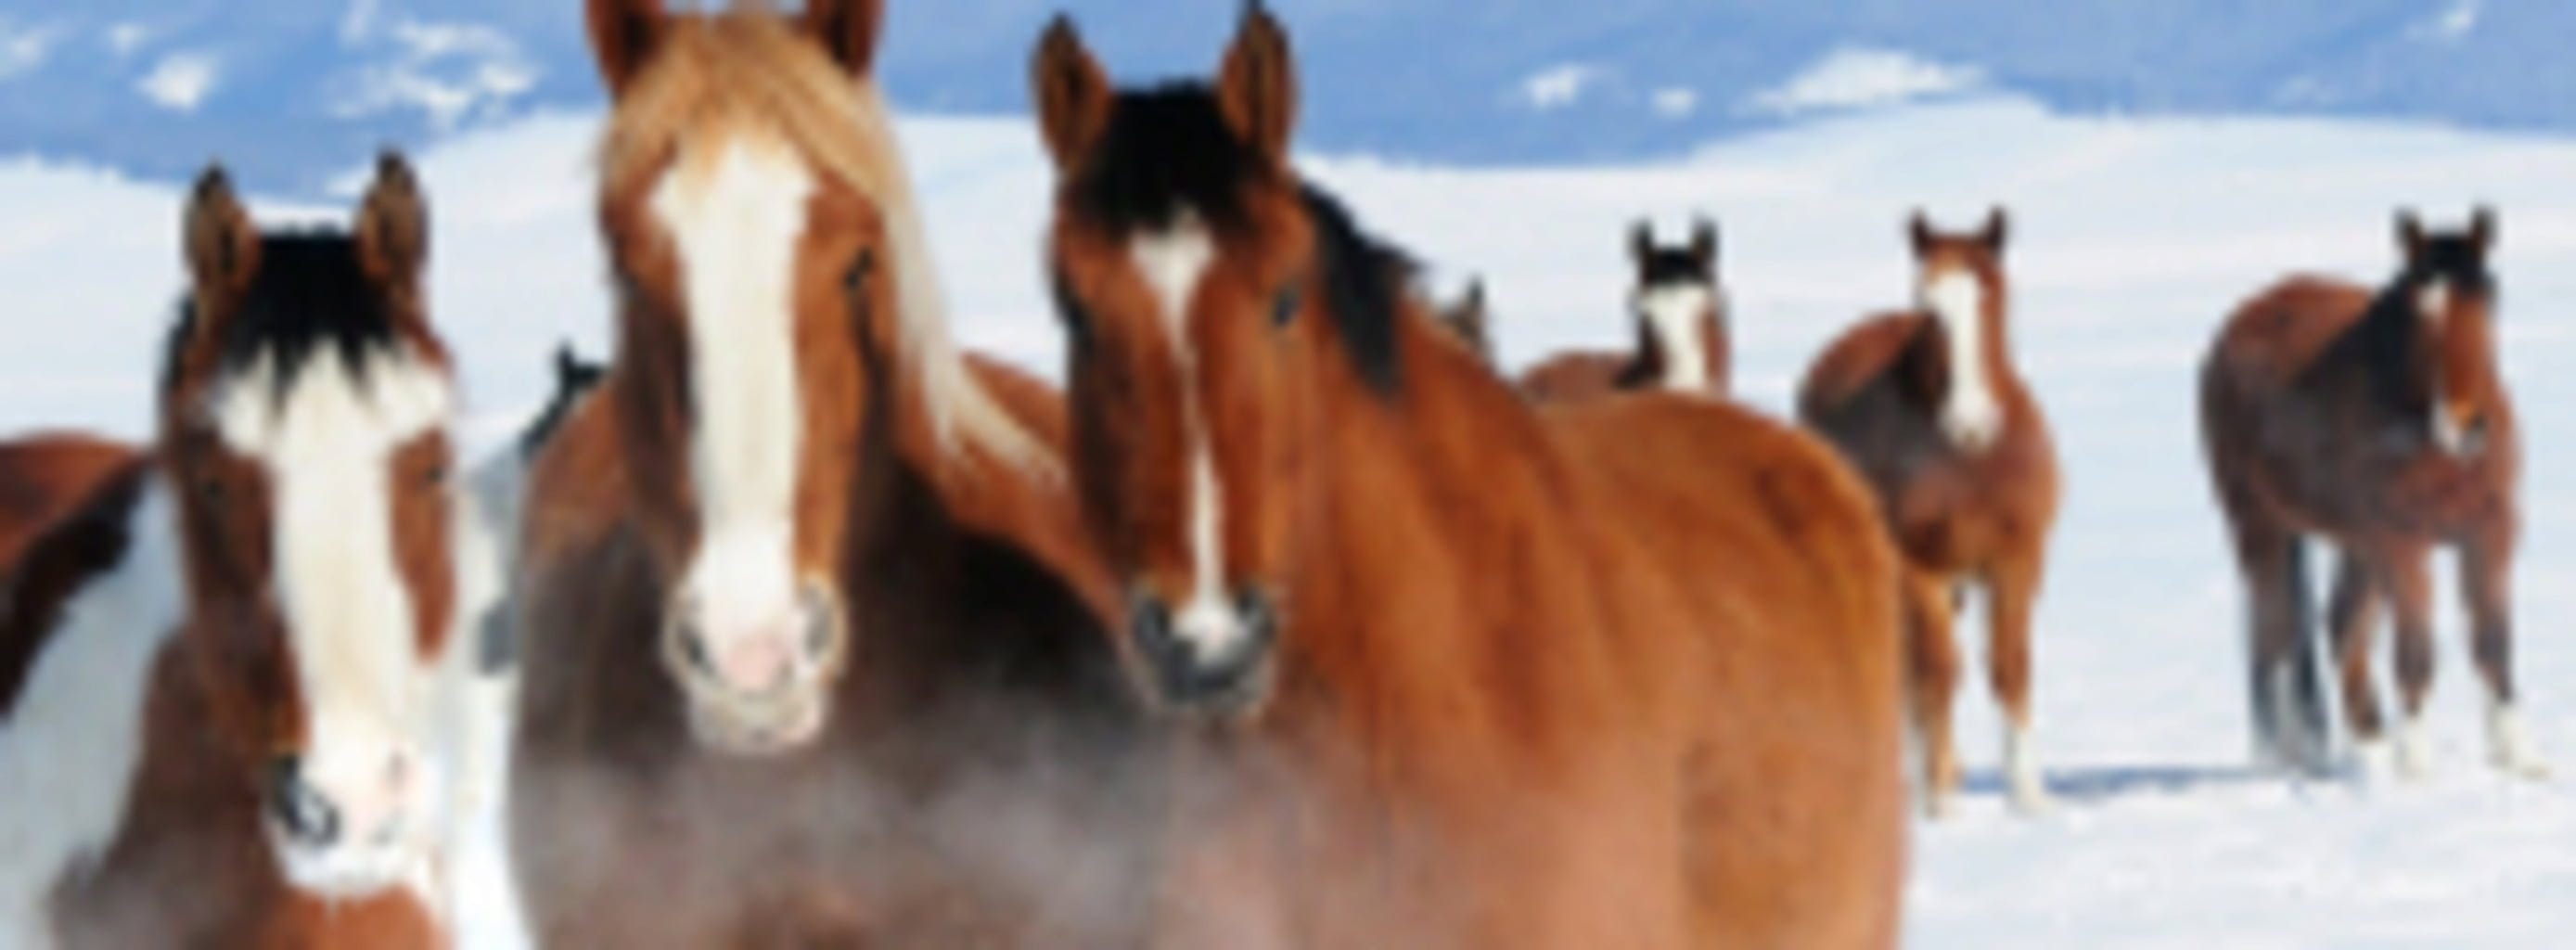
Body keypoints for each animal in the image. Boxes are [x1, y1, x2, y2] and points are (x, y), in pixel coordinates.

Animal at [1797, 209, 2061, 815]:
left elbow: (2011, 667)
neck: (1967, 461)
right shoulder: (1920, 567)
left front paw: (2030, 797)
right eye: (1927, 302)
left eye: (1991, 291)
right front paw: (1937, 798)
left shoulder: (2017, 561)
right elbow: (1938, 671)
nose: (1971, 422)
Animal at [2200, 209, 2543, 780]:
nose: (2467, 425)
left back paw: (2372, 753)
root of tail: (2238, 324)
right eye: (2421, 313)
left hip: (2355, 543)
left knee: (2340, 627)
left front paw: (2521, 760)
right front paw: (2418, 768)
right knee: (2274, 633)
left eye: (2487, 299)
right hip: (2260, 526)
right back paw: (2282, 760)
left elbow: (2494, 645)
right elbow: (2417, 653)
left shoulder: (2490, 534)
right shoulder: (2403, 544)